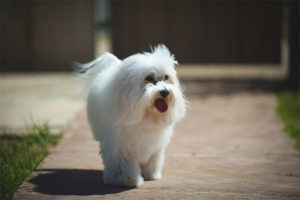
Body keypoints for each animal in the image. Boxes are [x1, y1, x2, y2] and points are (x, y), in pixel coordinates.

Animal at [75, 44, 185, 188]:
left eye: (166, 77)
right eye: (149, 78)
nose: (165, 92)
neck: (144, 114)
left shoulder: (154, 146)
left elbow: (152, 159)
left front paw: (150, 174)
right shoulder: (121, 146)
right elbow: (123, 164)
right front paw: (126, 179)